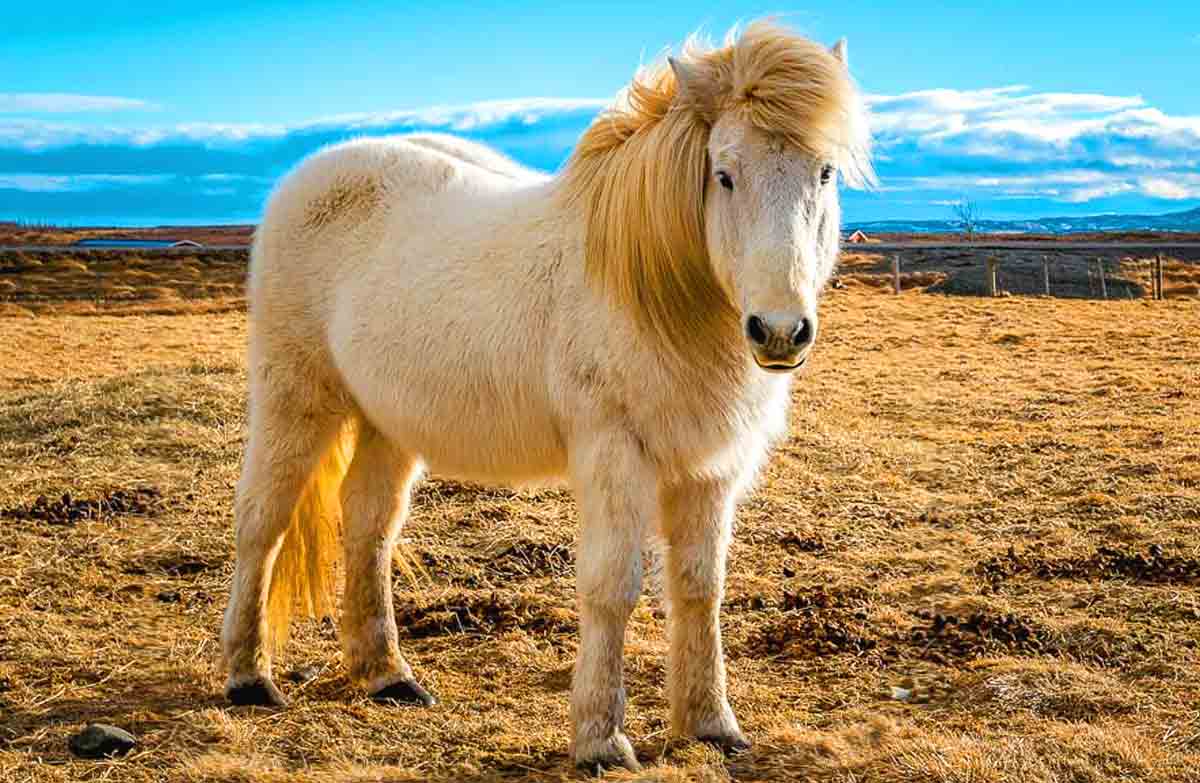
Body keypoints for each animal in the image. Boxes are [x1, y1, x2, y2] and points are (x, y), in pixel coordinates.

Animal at [220, 21, 872, 772]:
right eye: (724, 173)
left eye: (824, 173)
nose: (780, 330)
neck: (652, 289)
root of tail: (306, 177)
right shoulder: (614, 451)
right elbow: (612, 587)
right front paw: (599, 739)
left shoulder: (710, 469)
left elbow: (700, 587)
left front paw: (711, 725)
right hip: (295, 397)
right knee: (263, 521)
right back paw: (247, 677)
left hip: (389, 420)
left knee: (369, 525)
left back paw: (387, 675)